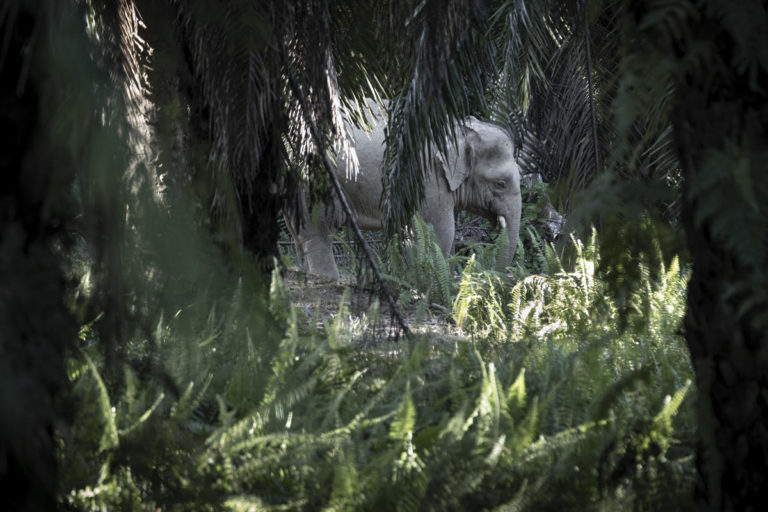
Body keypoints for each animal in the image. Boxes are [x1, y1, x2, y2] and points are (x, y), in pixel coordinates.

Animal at [286, 102, 522, 281]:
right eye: (501, 183)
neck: (460, 130)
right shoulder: (429, 179)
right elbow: (441, 231)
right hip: (314, 181)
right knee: (319, 232)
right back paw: (328, 279)